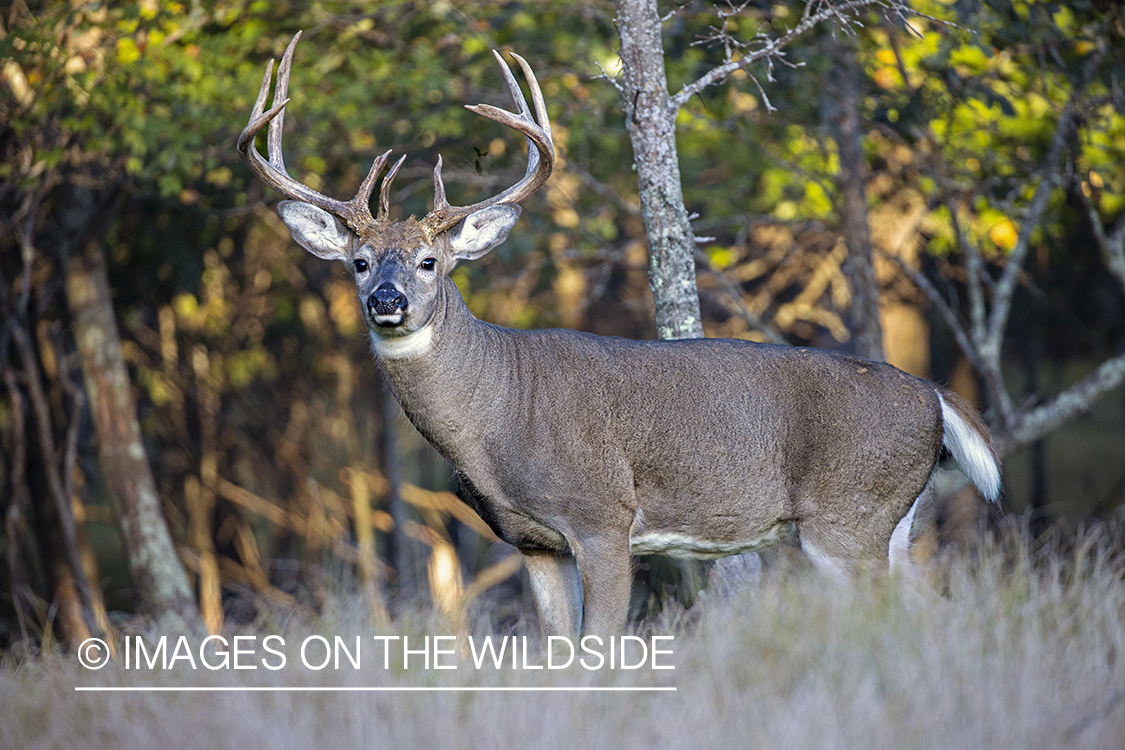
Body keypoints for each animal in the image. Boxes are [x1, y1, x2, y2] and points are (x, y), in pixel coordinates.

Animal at [239, 33, 1003, 638]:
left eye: (430, 261)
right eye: (359, 262)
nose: (387, 302)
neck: (496, 411)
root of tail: (934, 396)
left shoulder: (604, 516)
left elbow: (597, 648)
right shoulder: (533, 541)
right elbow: (555, 651)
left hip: (849, 515)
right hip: (892, 522)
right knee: (937, 611)